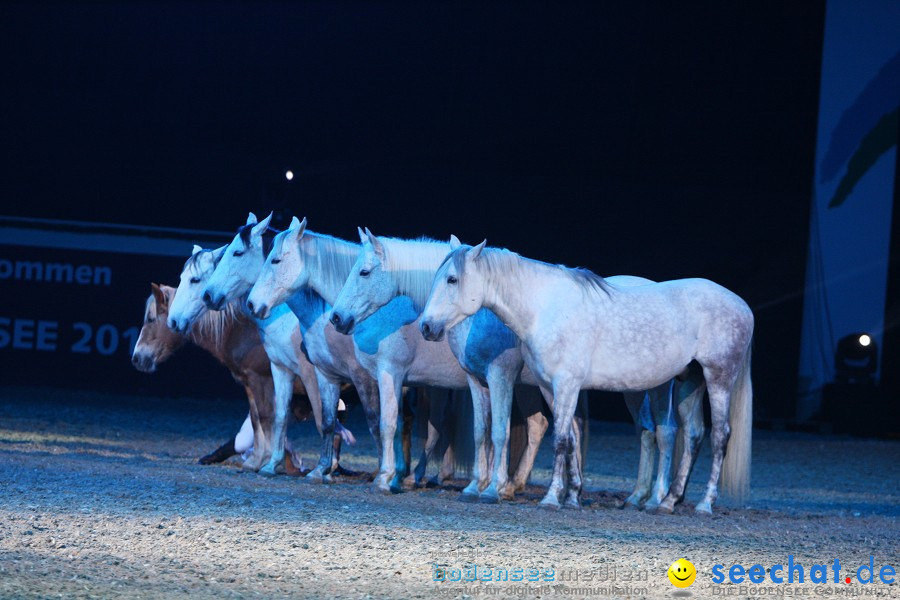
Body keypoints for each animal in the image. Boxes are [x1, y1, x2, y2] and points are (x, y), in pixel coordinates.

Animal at [330, 230, 712, 506]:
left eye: (364, 272)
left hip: (649, 388)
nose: (337, 318)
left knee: (662, 432)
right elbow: (482, 431)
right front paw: (478, 485)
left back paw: (655, 497)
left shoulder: (500, 377)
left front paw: (489, 488)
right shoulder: (477, 380)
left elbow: (496, 431)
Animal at [422, 241, 752, 512]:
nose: (427, 327)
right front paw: (571, 497)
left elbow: (555, 439)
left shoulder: (558, 383)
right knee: (691, 434)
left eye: (452, 279)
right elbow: (567, 439)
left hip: (717, 379)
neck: (545, 307)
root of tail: (743, 306)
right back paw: (666, 501)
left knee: (716, 435)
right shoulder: (548, 387)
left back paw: (702, 504)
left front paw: (550, 498)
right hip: (688, 382)